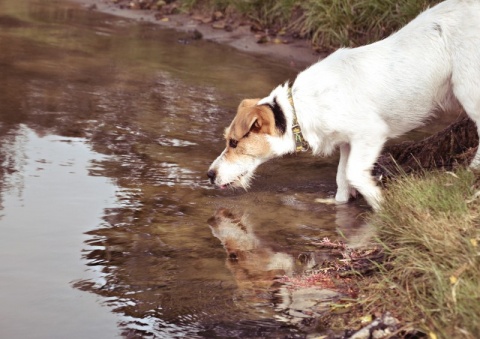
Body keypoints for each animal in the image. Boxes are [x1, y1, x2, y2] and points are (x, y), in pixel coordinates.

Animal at [208, 0, 480, 211]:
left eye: (234, 143)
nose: (209, 175)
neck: (299, 111)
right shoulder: (348, 143)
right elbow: (341, 177)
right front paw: (339, 204)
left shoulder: (370, 134)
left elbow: (354, 173)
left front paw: (381, 206)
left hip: (467, 89)